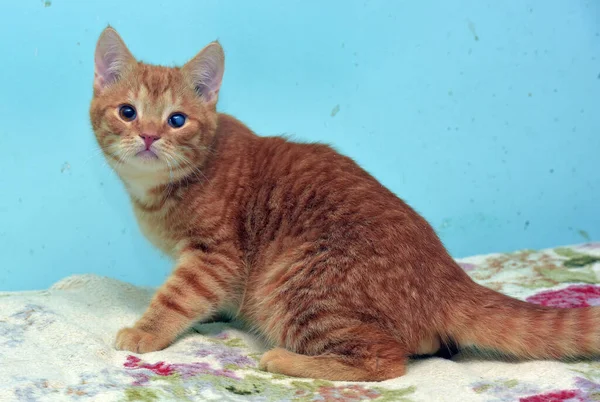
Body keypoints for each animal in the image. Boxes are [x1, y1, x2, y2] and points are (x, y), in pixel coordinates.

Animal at [90, 26, 600, 382]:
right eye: (128, 112)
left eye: (176, 120)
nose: (149, 135)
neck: (165, 186)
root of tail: (448, 277)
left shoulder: (215, 256)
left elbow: (178, 295)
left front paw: (146, 330)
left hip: (297, 284)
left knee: (386, 360)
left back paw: (287, 361)